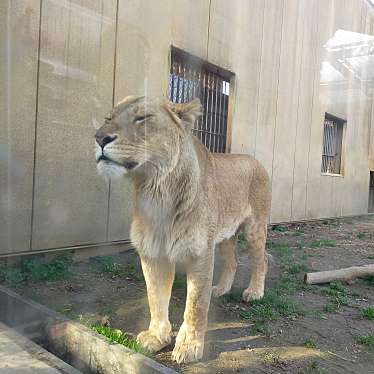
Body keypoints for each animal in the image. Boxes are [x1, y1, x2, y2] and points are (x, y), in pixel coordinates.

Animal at [95, 95, 272, 364]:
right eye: (108, 118)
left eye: (142, 118)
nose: (99, 138)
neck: (155, 190)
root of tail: (256, 160)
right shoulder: (152, 252)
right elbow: (155, 297)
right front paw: (157, 337)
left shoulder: (200, 253)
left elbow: (195, 304)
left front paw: (189, 346)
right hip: (224, 236)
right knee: (232, 262)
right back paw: (221, 289)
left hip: (254, 229)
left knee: (261, 261)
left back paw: (254, 292)